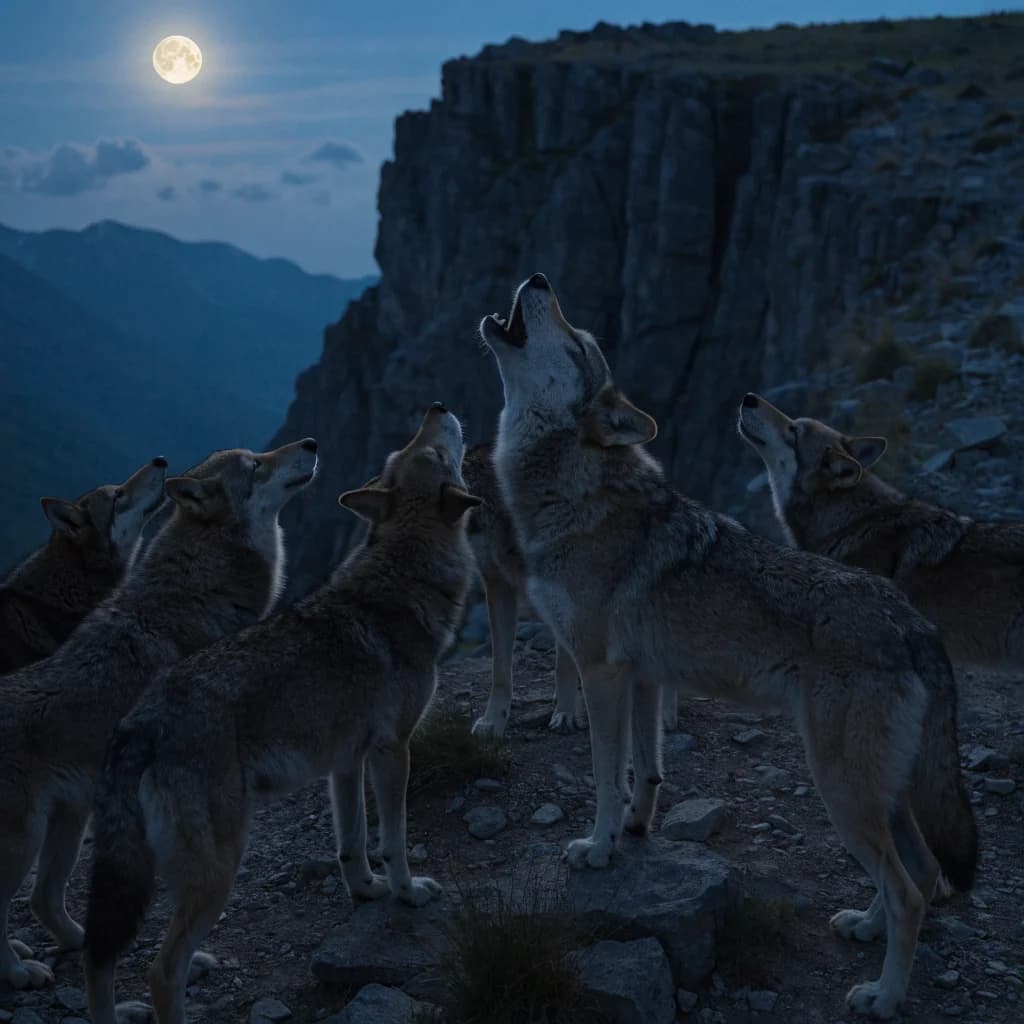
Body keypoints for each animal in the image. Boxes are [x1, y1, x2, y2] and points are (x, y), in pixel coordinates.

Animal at [82, 404, 479, 1024]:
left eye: (406, 450)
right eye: (433, 452)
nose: (436, 409)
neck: (401, 578)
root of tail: (139, 722)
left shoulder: (346, 761)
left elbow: (351, 843)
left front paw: (367, 891)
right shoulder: (393, 751)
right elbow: (393, 839)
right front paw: (407, 893)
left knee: (99, 960)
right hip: (218, 869)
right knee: (161, 969)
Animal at [480, 274, 977, 1019]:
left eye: (576, 342)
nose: (539, 280)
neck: (572, 490)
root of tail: (916, 625)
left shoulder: (599, 671)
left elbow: (603, 774)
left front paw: (597, 848)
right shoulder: (642, 677)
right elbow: (647, 770)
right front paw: (635, 830)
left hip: (840, 785)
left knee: (913, 893)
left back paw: (883, 995)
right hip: (879, 791)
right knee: (921, 870)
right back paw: (865, 927)